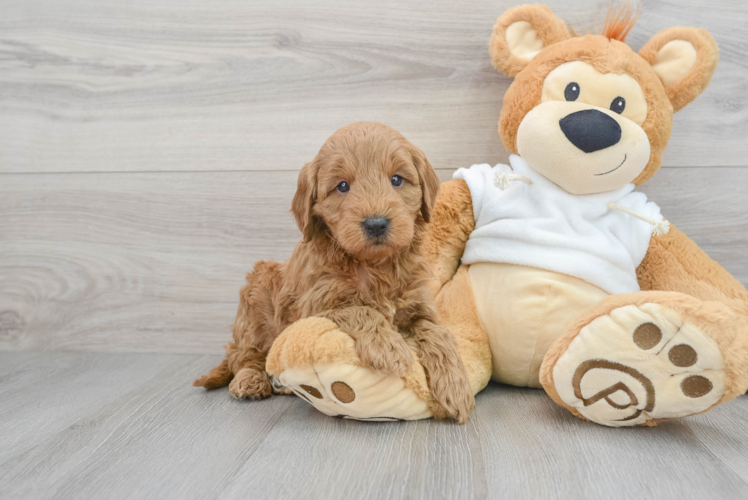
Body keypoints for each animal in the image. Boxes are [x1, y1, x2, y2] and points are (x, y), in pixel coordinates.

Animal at [193, 121, 474, 422]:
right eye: (342, 186)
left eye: (397, 180)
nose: (376, 224)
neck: (374, 265)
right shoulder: (316, 304)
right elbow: (360, 309)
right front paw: (389, 347)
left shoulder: (419, 304)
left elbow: (438, 333)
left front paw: (456, 387)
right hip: (256, 298)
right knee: (243, 355)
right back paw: (250, 380)